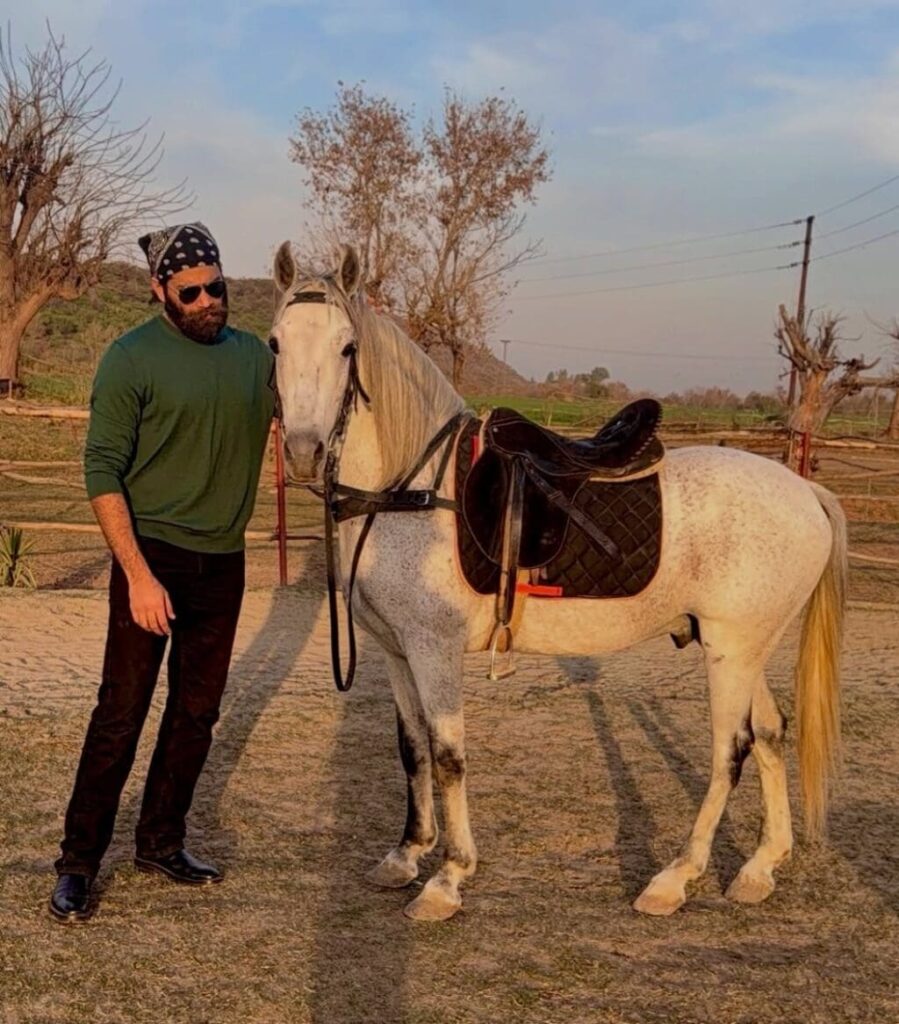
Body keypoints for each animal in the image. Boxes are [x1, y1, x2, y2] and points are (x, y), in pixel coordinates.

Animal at [268, 241, 846, 922]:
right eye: (275, 342)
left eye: (347, 347)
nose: (303, 452)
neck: (412, 488)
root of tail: (804, 490)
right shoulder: (396, 652)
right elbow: (412, 748)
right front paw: (407, 854)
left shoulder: (435, 651)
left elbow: (448, 756)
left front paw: (449, 877)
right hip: (743, 648)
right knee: (772, 735)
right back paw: (760, 866)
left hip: (731, 652)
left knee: (730, 752)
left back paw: (675, 877)